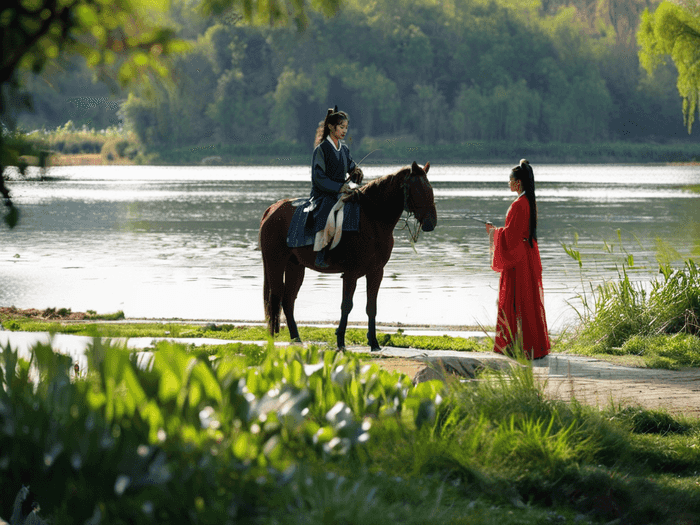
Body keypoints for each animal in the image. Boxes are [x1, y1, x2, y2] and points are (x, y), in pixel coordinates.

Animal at [260, 158, 438, 350]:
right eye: (419, 189)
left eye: (430, 189)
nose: (431, 223)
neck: (372, 219)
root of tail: (272, 209)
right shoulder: (351, 273)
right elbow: (346, 305)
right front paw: (340, 340)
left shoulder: (376, 272)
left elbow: (371, 306)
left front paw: (374, 342)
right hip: (275, 263)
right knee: (275, 298)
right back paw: (273, 340)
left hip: (296, 266)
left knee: (288, 300)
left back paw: (296, 338)